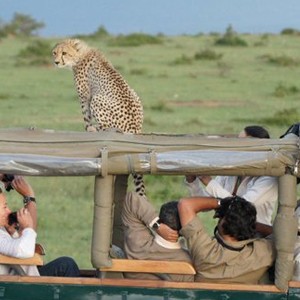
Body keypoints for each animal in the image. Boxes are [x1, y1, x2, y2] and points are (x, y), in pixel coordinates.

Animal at [52, 38, 145, 196]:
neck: (80, 55)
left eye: (64, 53)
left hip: (97, 98)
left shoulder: (85, 96)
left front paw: (88, 130)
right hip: (135, 96)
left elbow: (86, 116)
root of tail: (135, 130)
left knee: (106, 129)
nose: (56, 62)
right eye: (54, 53)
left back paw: (97, 130)